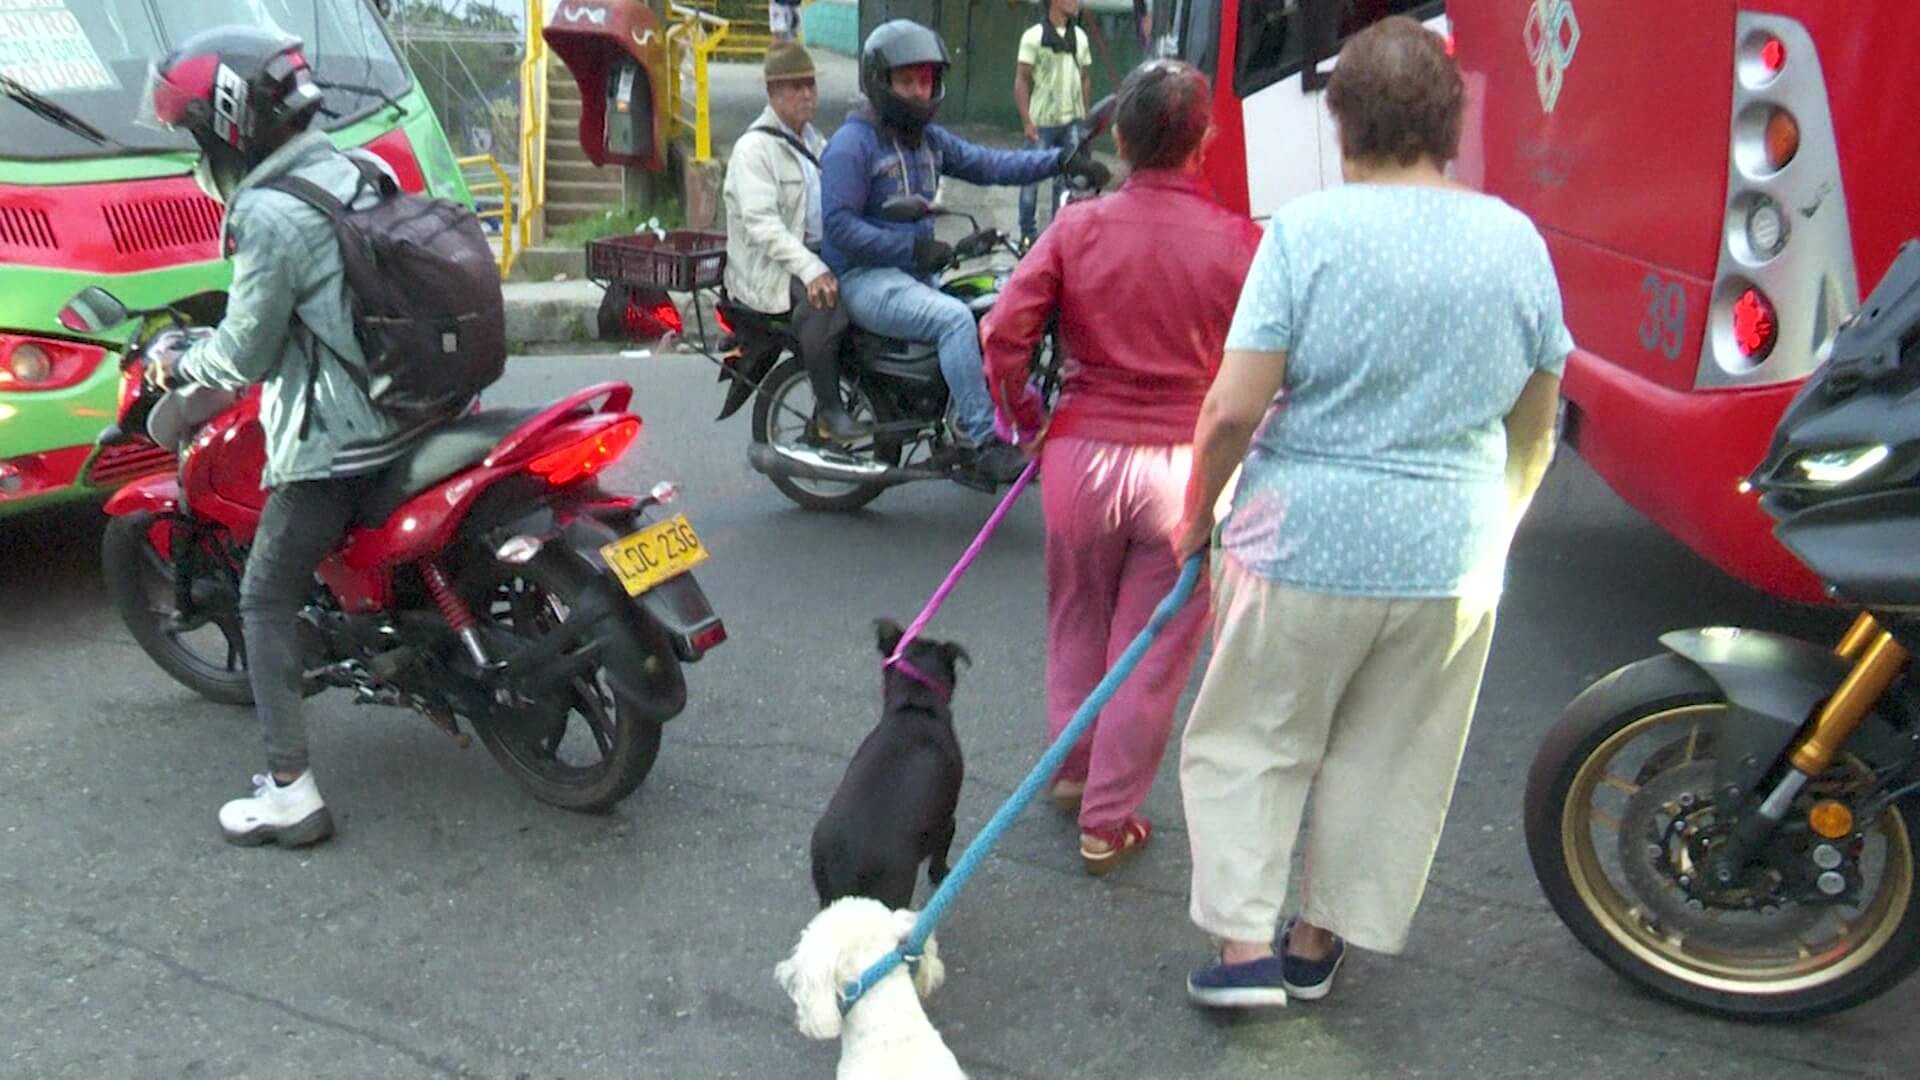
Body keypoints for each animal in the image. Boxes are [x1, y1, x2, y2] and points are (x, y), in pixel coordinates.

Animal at [810, 614, 967, 907]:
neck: (915, 704)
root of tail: (848, 861)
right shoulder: (946, 821)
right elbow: (942, 850)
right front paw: (943, 875)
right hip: (895, 887)